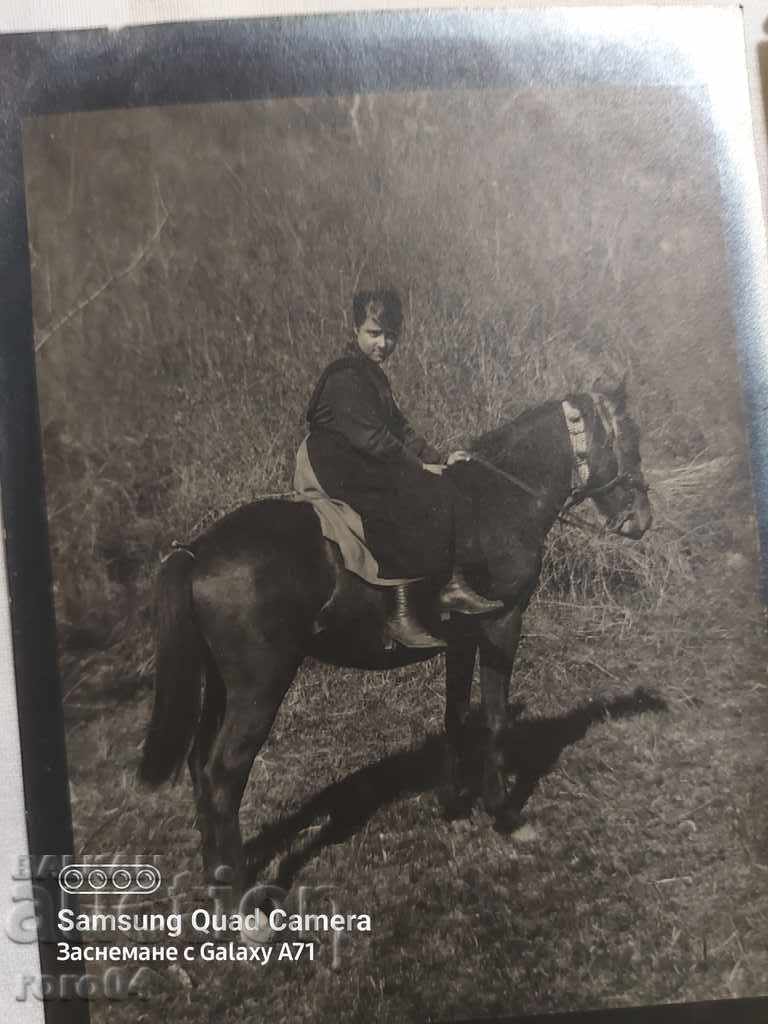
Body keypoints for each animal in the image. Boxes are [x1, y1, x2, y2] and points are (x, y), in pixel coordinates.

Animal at [139, 380, 652, 899]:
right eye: (627, 440)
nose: (642, 518)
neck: (499, 501)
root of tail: (197, 551)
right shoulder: (503, 625)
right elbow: (495, 719)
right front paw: (504, 814)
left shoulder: (462, 639)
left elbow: (455, 716)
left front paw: (453, 803)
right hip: (260, 687)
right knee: (223, 777)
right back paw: (241, 898)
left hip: (220, 684)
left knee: (199, 767)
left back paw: (216, 879)